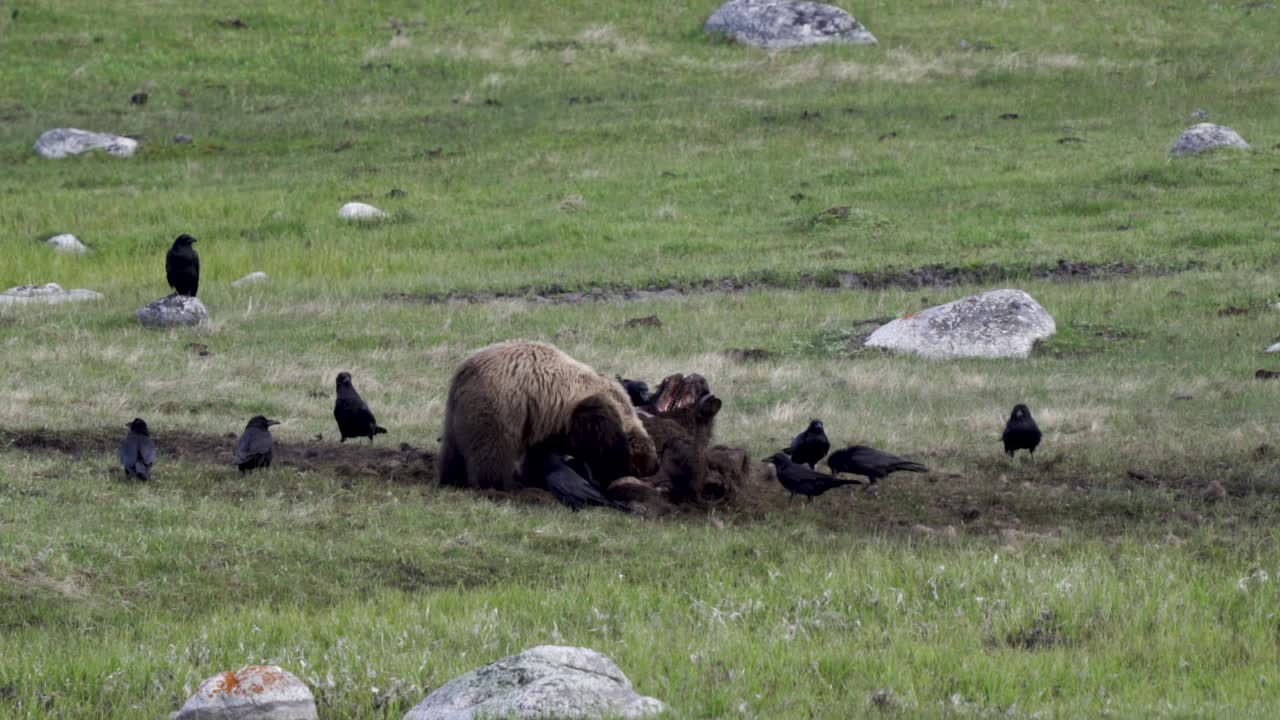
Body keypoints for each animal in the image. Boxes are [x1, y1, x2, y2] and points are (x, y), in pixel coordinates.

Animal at [438, 340, 659, 491]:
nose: (654, 467)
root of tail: (465, 371)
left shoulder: (549, 420)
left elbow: (539, 453)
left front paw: (536, 478)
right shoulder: (588, 414)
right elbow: (602, 447)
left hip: (457, 410)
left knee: (453, 447)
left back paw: (452, 478)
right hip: (501, 405)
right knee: (492, 448)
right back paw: (496, 485)